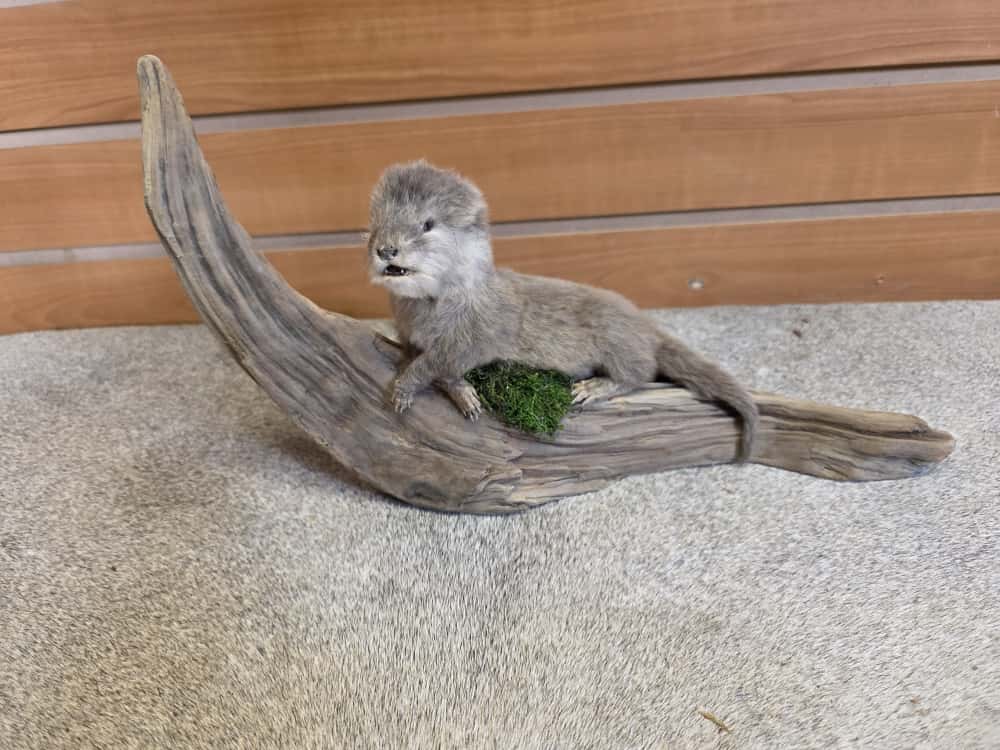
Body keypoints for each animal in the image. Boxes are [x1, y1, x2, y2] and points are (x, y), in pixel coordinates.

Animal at [366, 160, 759, 459]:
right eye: (375, 223)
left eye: (427, 224)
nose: (386, 249)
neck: (441, 308)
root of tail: (644, 324)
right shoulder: (407, 331)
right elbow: (425, 360)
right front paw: (460, 392)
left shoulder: (476, 335)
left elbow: (436, 362)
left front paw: (407, 386)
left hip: (617, 338)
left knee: (640, 372)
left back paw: (594, 388)